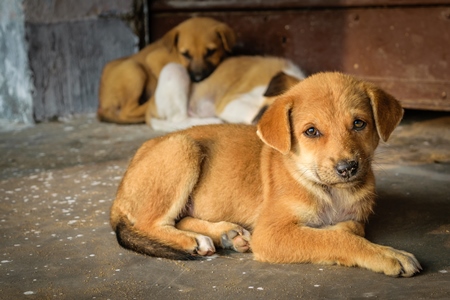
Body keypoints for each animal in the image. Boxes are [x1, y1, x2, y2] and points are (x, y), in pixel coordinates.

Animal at [98, 16, 236, 124]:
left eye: (211, 52)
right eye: (185, 54)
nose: (198, 78)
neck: (176, 54)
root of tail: (101, 104)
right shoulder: (154, 58)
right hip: (134, 69)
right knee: (127, 111)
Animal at [110, 72, 422, 276]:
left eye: (359, 124)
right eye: (311, 131)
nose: (347, 168)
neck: (328, 190)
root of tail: (121, 189)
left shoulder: (355, 217)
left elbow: (351, 229)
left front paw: (340, 229)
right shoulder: (270, 234)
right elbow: (336, 239)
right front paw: (387, 254)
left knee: (180, 217)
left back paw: (226, 233)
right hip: (182, 148)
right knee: (150, 223)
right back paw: (193, 241)